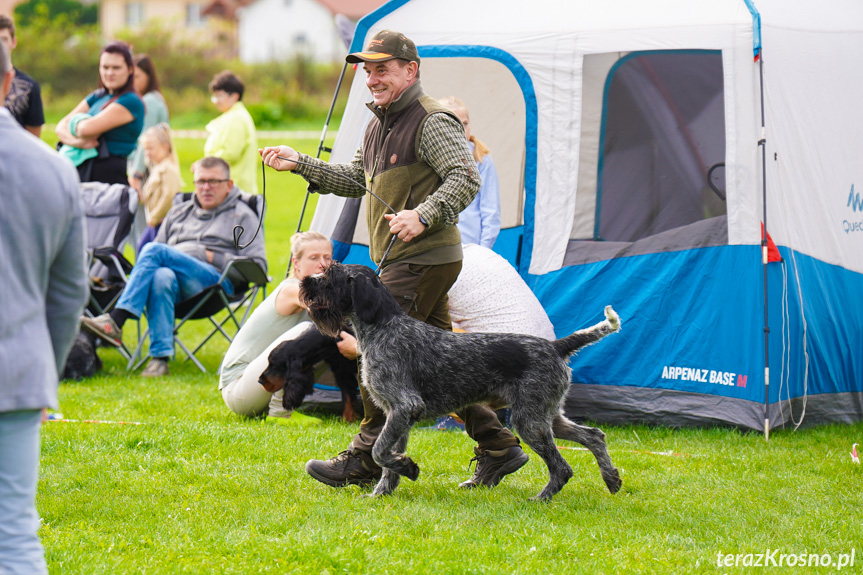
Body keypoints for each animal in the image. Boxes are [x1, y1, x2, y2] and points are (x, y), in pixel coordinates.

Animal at [300, 264, 624, 502]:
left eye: (329, 277)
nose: (305, 281)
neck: (383, 327)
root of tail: (556, 346)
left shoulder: (405, 407)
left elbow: (380, 451)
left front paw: (408, 469)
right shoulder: (398, 415)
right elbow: (387, 458)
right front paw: (383, 492)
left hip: (529, 421)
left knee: (562, 467)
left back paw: (542, 498)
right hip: (548, 416)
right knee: (595, 436)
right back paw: (611, 479)